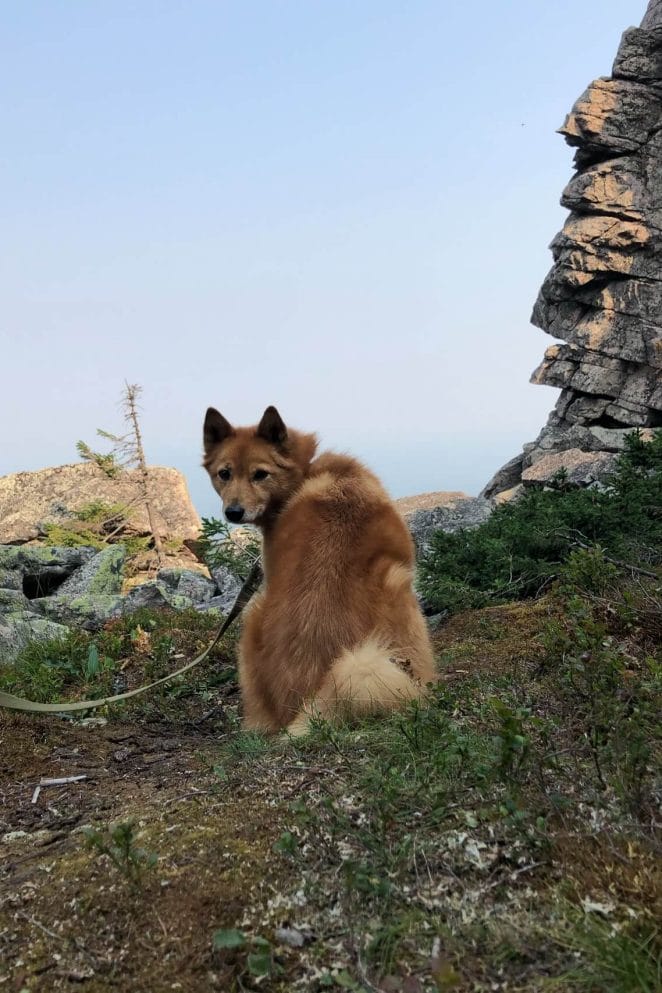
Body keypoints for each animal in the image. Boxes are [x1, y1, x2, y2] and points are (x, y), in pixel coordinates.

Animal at [202, 405, 437, 735]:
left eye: (260, 474)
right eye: (225, 474)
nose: (233, 512)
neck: (305, 473)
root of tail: (309, 701)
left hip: (253, 618)